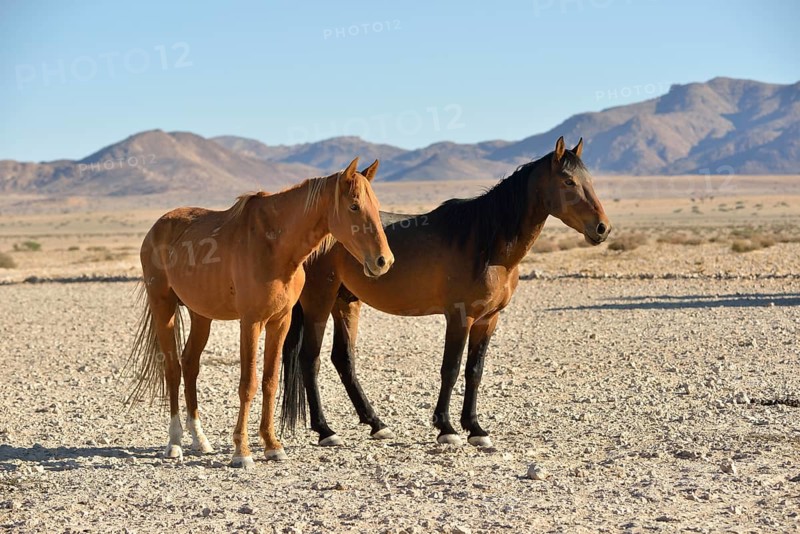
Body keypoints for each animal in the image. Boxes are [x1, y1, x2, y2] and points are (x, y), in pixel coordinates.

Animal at [126, 157, 394, 468]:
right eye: (354, 206)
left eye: (376, 205)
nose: (384, 261)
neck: (275, 246)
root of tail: (157, 228)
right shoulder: (251, 322)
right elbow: (248, 384)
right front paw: (241, 451)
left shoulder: (280, 321)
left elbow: (269, 381)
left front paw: (272, 445)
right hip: (163, 307)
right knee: (172, 368)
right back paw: (175, 442)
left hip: (200, 314)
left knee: (190, 364)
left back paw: (199, 439)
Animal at [280, 137, 611, 448]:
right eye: (568, 181)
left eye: (590, 180)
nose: (602, 228)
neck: (487, 243)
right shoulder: (459, 317)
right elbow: (450, 369)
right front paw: (447, 428)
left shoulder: (488, 320)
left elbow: (474, 371)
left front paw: (475, 429)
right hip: (319, 302)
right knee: (310, 360)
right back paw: (325, 430)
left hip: (346, 302)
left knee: (343, 359)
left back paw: (377, 423)